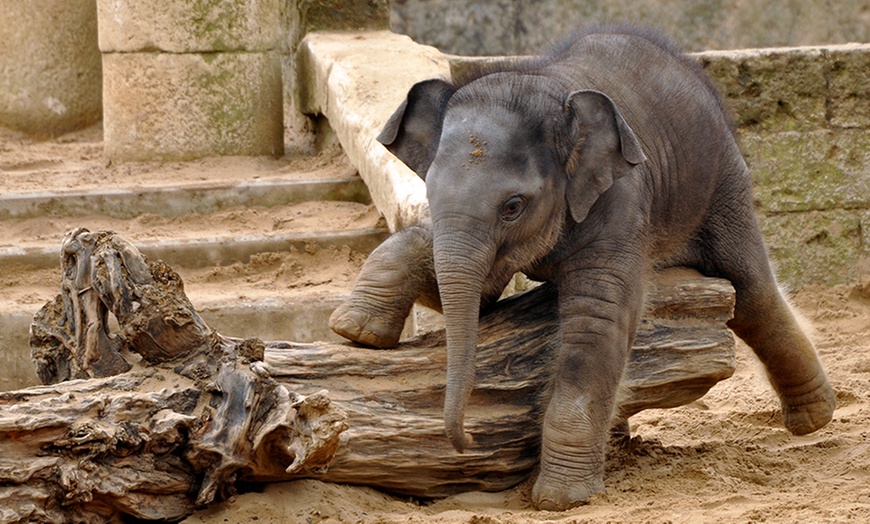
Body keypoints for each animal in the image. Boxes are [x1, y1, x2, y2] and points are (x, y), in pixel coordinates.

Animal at [328, 25, 836, 512]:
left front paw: (561, 498)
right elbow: (470, 291)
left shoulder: (621, 197)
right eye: (429, 193)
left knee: (752, 294)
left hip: (720, 181)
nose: (465, 440)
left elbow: (597, 323)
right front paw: (356, 330)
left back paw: (814, 420)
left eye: (513, 206)